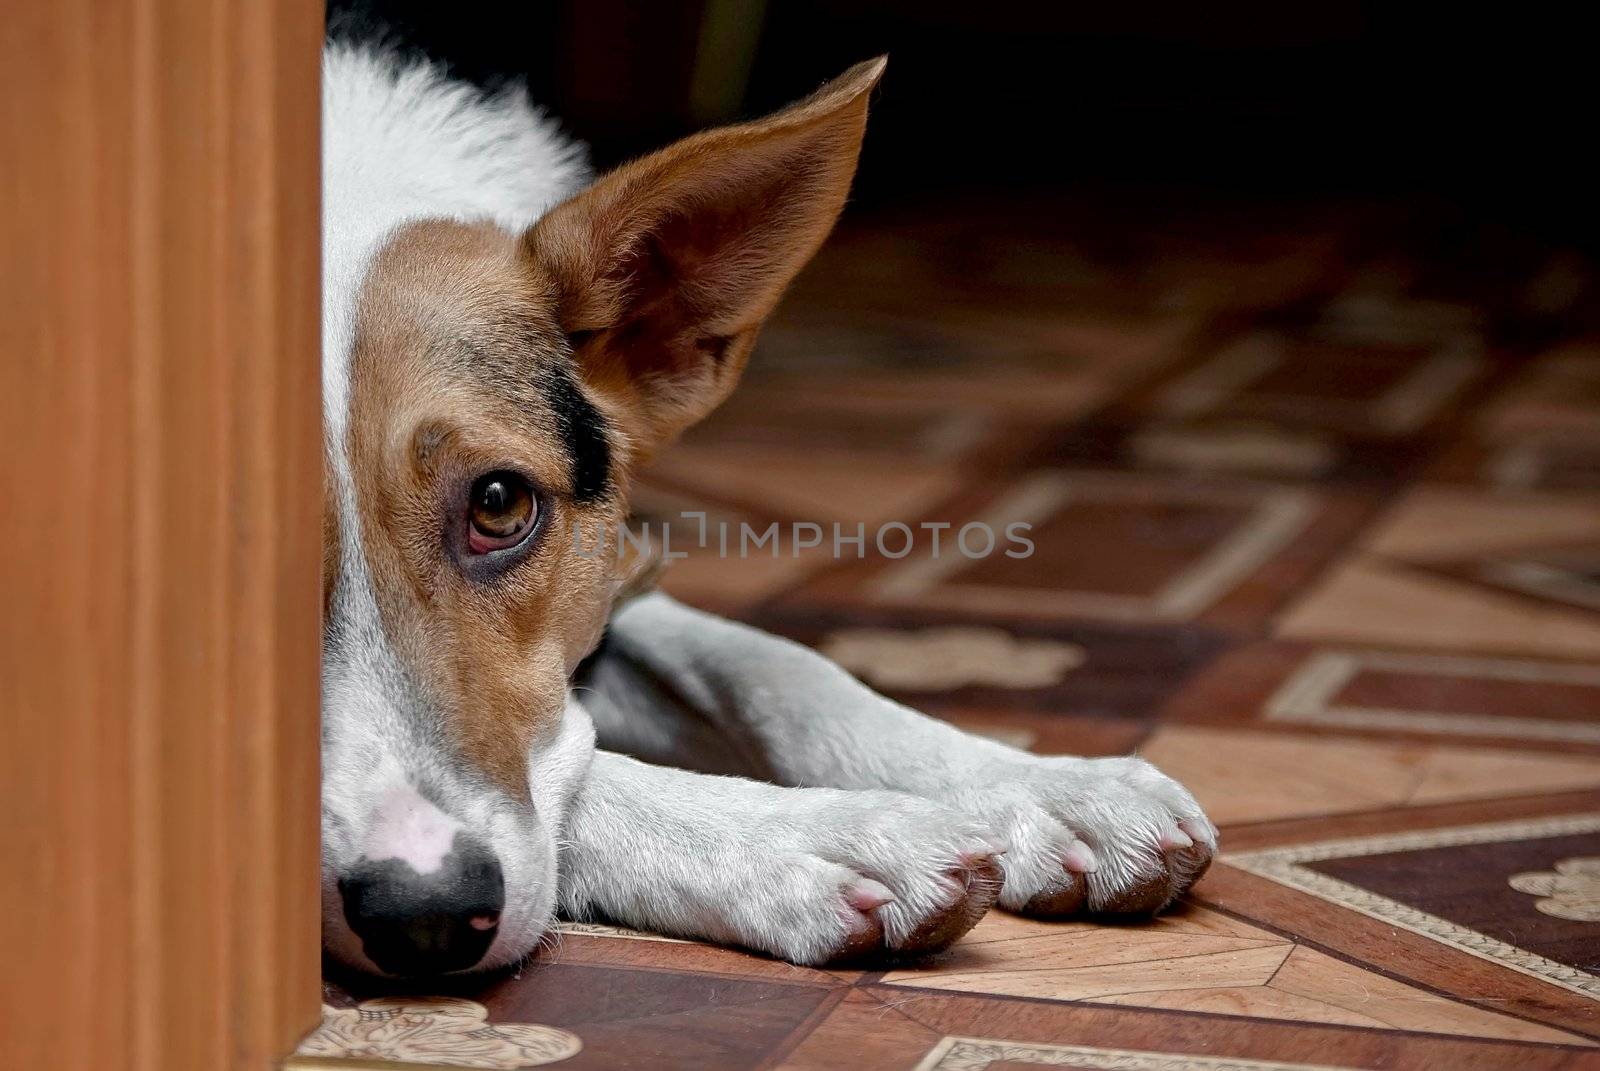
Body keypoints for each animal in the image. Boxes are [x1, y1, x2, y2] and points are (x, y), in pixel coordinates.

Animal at [321, 43, 1209, 979]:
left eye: (499, 504)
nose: (423, 917)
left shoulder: (618, 575)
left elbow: (776, 669)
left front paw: (1045, 788)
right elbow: (590, 774)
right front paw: (821, 836)